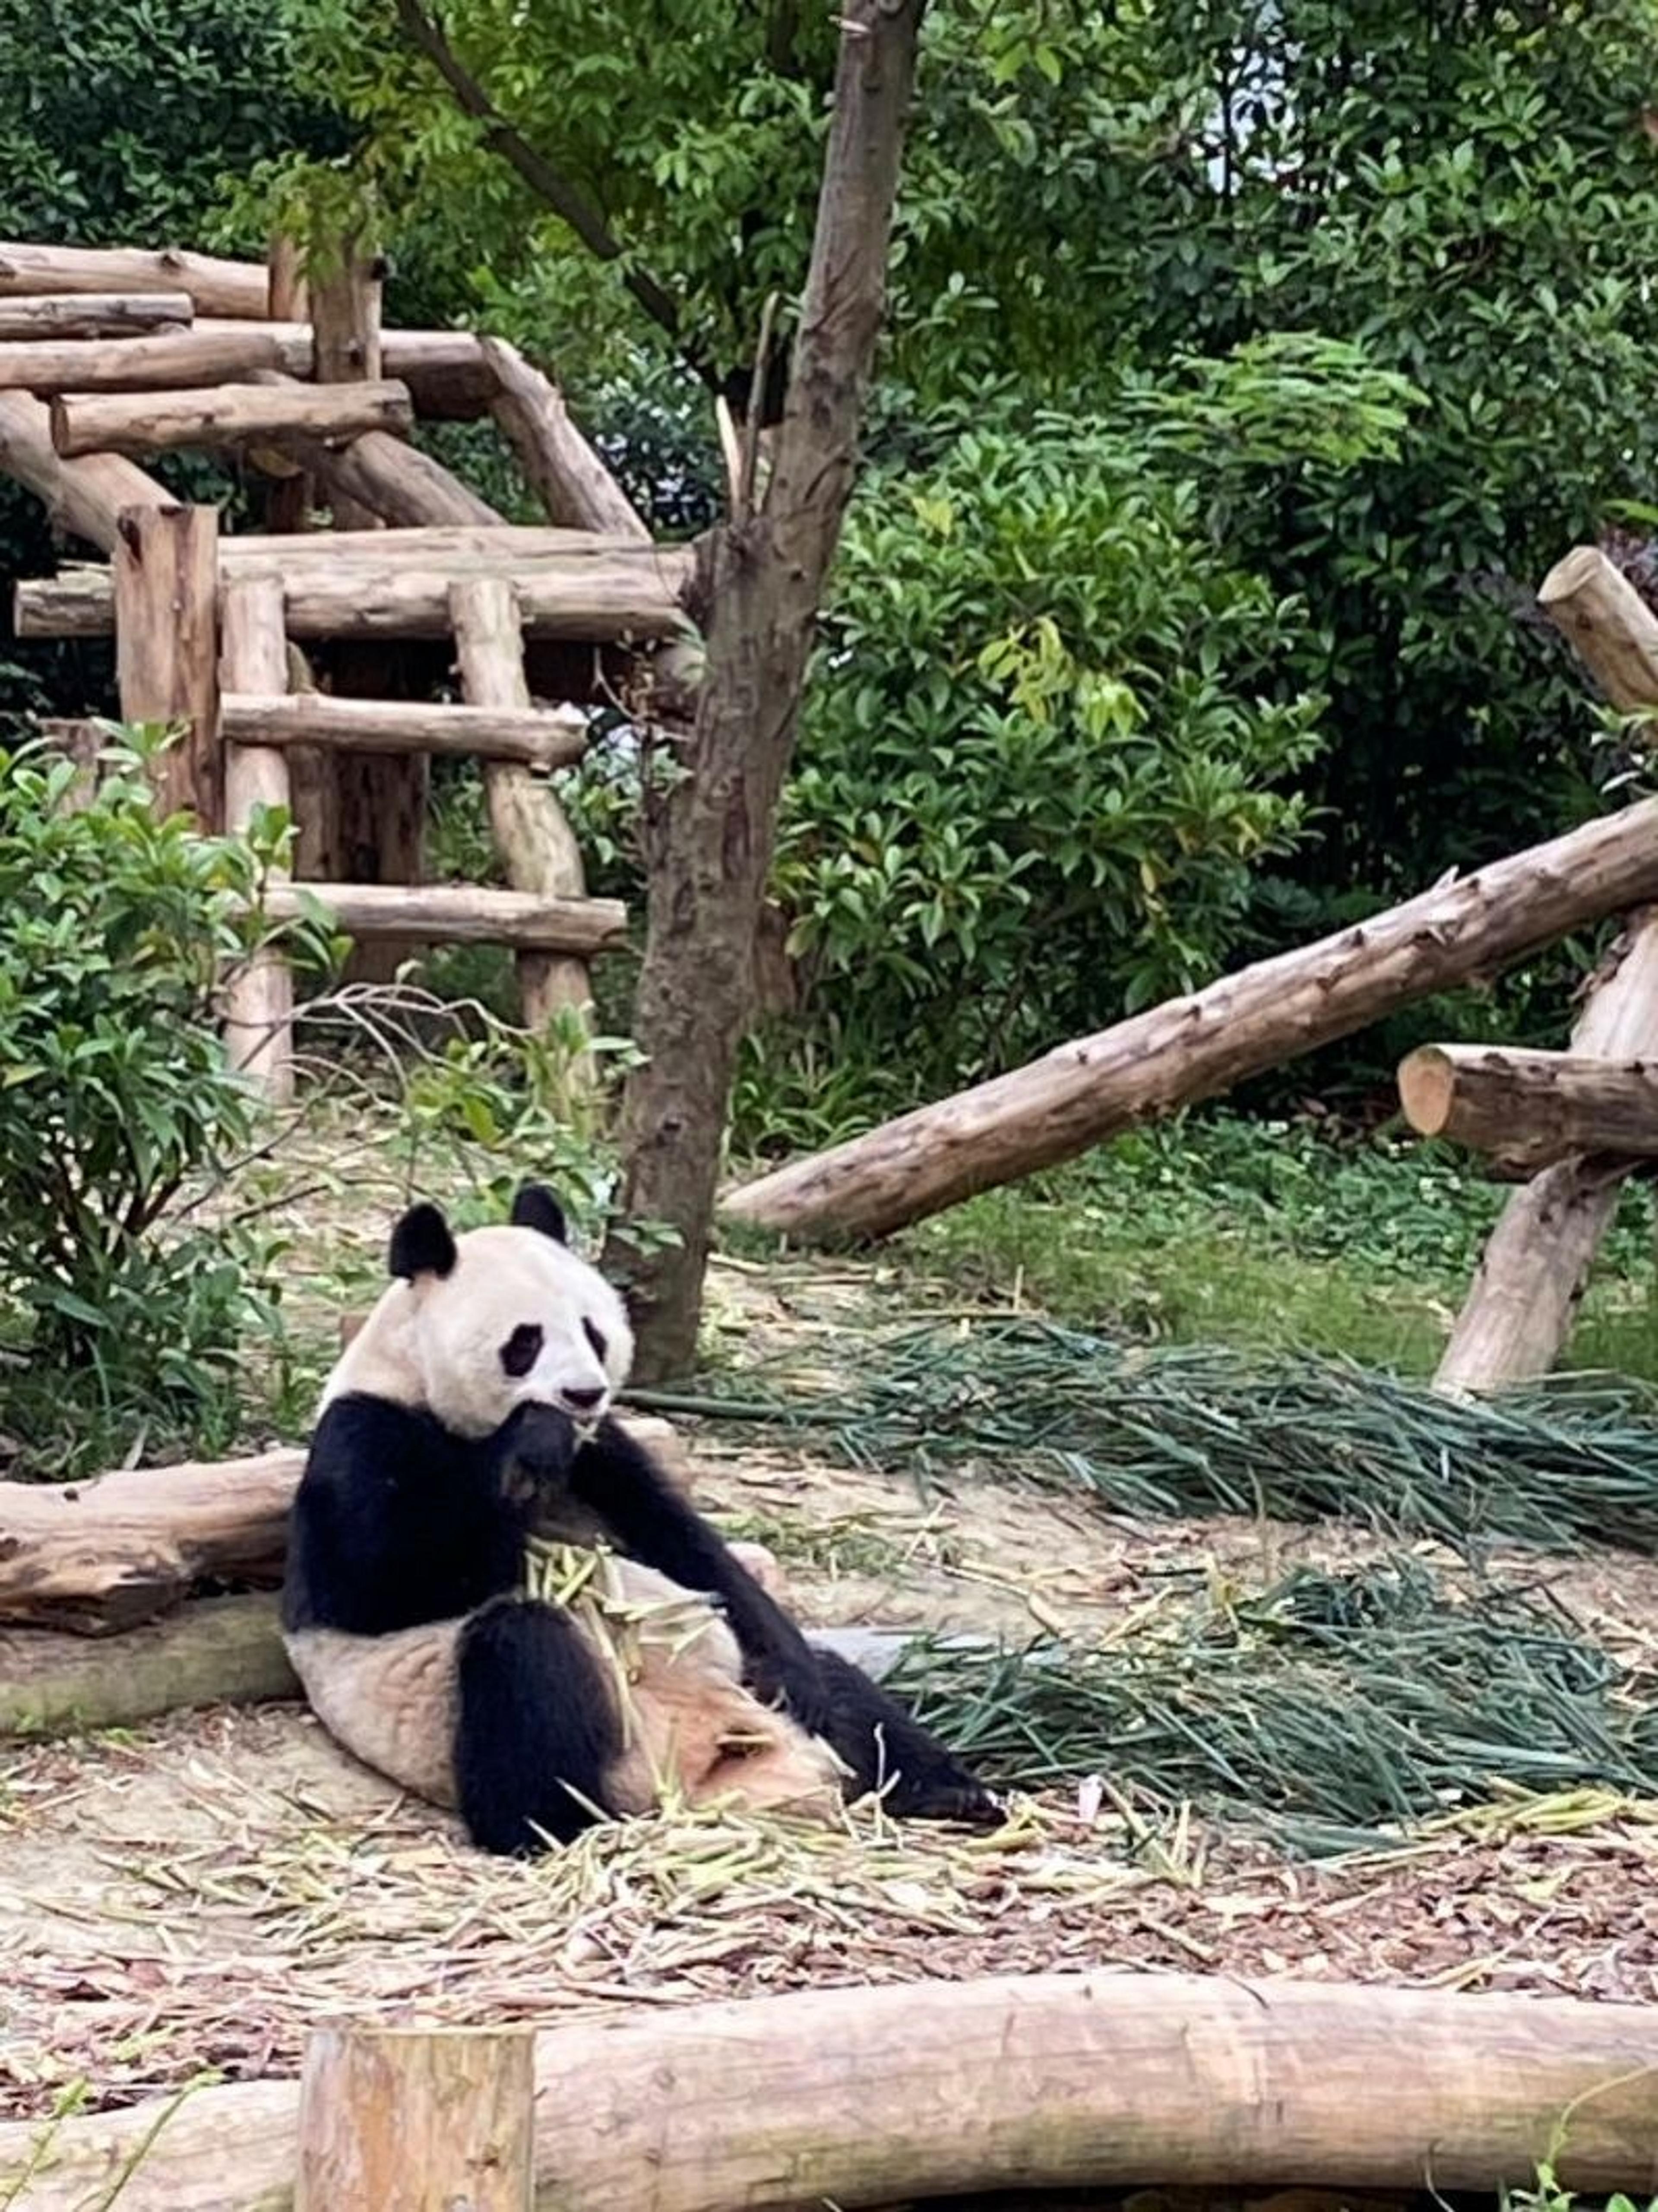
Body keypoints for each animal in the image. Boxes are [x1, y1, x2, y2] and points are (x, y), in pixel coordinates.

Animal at [280, 1181, 1000, 1856]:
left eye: (593, 1330)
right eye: (526, 1340)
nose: (583, 1392)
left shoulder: (606, 1456)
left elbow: (691, 1548)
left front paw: (799, 1678)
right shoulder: (366, 1435)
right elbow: (386, 1577)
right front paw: (528, 1448)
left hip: (743, 1684)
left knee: (845, 1694)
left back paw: (950, 1791)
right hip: (521, 1726)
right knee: (520, 1652)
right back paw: (556, 1824)